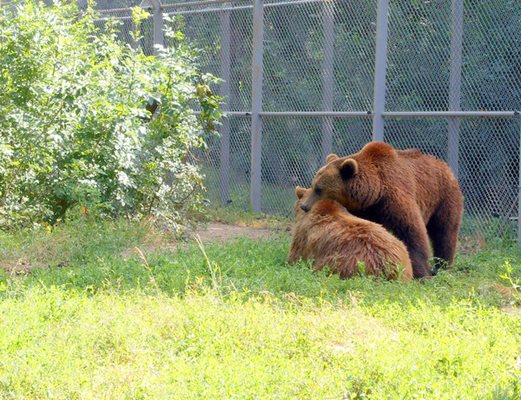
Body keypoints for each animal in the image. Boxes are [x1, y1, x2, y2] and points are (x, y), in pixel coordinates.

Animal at [300, 141, 464, 278]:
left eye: (319, 189)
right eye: (314, 184)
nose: (304, 206)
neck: (375, 192)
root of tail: (443, 164)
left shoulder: (395, 199)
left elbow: (412, 233)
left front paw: (421, 273)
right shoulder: (365, 209)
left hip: (444, 196)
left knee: (444, 232)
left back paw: (442, 266)